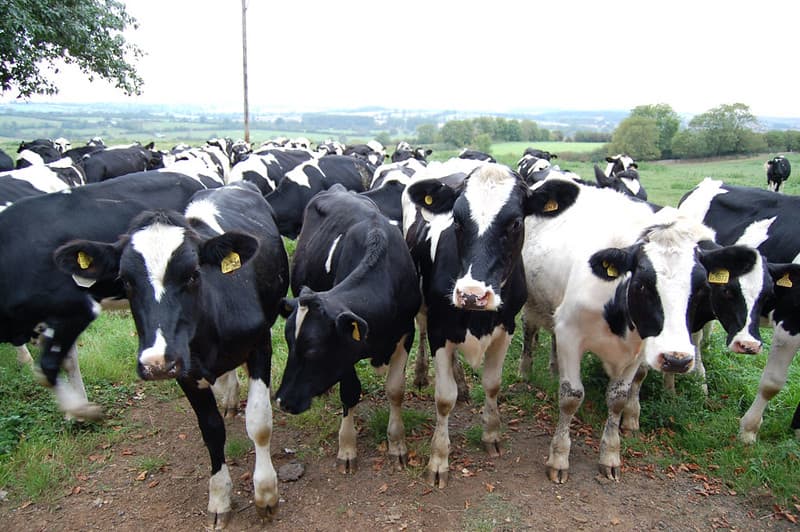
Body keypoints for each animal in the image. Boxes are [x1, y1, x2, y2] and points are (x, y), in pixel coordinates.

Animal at [54, 182, 289, 526]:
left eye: (192, 274)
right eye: (126, 281)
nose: (156, 363)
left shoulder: (260, 345)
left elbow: (259, 423)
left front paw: (267, 493)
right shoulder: (185, 371)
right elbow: (211, 430)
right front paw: (219, 497)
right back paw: (230, 397)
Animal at [276, 185, 420, 473]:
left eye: (314, 351)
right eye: (289, 344)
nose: (282, 402)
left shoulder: (406, 333)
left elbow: (395, 389)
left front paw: (397, 443)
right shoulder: (344, 354)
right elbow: (350, 392)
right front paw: (347, 448)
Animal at [401, 163, 579, 488]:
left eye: (516, 223)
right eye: (457, 222)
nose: (472, 294)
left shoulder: (505, 327)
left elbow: (493, 384)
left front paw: (492, 434)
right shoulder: (439, 329)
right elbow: (443, 398)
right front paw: (438, 460)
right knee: (420, 330)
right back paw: (421, 374)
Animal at [521, 177, 757, 483]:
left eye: (702, 288)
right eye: (643, 284)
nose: (677, 360)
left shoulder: (638, 350)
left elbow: (618, 398)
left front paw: (610, 454)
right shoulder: (571, 335)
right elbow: (571, 397)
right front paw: (559, 457)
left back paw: (552, 368)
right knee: (529, 329)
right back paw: (525, 370)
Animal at [678, 177, 800, 443]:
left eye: (769, 295)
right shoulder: (790, 322)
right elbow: (772, 383)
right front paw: (749, 430)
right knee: (694, 337)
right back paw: (700, 381)